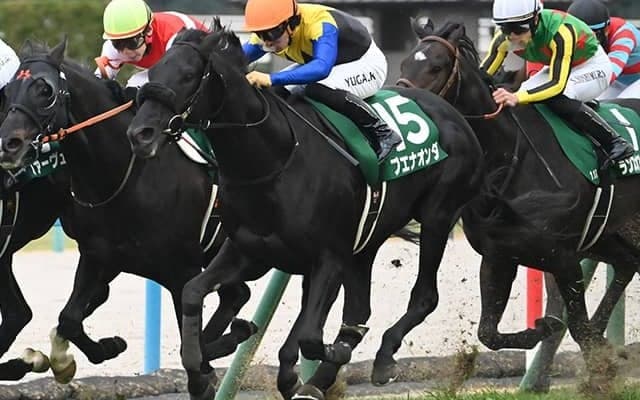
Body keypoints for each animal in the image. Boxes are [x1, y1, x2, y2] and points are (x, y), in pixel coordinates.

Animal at [0, 39, 257, 384]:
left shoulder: (182, 271)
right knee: (236, 295)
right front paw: (89, 352)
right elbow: (69, 318)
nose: (9, 143)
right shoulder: (98, 255)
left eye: (46, 90)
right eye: (9, 91)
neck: (127, 177)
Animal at [126, 25, 483, 400]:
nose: (140, 134)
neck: (275, 159)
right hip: (366, 241)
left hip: (438, 216)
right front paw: (214, 353)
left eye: (188, 75)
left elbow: (310, 337)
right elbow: (194, 294)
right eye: (153, 73)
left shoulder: (328, 257)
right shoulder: (248, 252)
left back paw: (382, 356)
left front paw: (326, 356)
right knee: (359, 309)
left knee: (424, 296)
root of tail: (451, 112)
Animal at [397, 19, 640, 380]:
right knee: (627, 262)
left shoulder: (563, 257)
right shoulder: (499, 255)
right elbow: (488, 333)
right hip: (604, 235)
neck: (509, 162)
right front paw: (544, 328)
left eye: (436, 67)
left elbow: (578, 329)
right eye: (403, 64)